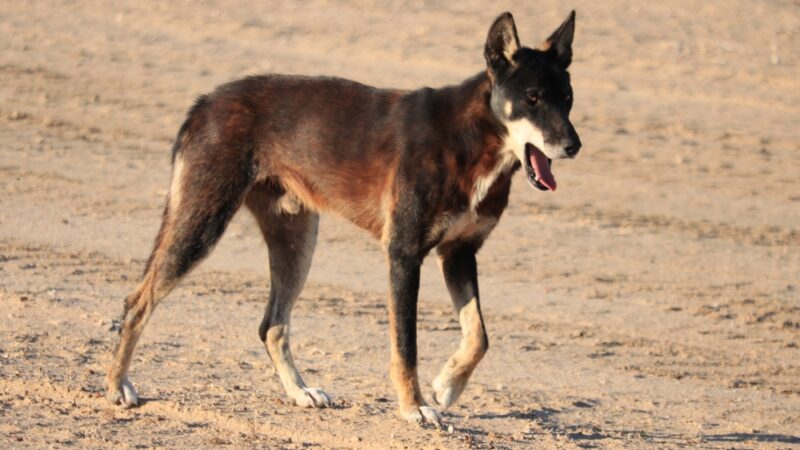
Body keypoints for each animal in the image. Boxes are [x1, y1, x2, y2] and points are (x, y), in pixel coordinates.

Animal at [106, 9, 580, 426]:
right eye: (532, 99)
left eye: (569, 99)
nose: (573, 146)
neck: (475, 138)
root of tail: (205, 101)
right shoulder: (404, 254)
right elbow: (406, 346)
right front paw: (415, 407)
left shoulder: (459, 254)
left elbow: (479, 335)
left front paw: (447, 385)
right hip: (202, 223)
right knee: (137, 302)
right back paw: (116, 385)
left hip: (296, 241)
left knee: (272, 325)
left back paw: (300, 392)